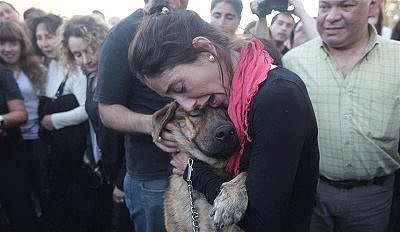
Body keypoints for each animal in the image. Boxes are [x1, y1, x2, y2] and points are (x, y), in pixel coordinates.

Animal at [152, 102, 247, 232]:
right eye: (196, 112)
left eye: (226, 107)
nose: (227, 132)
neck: (215, 168)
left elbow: (245, 173)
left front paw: (231, 202)